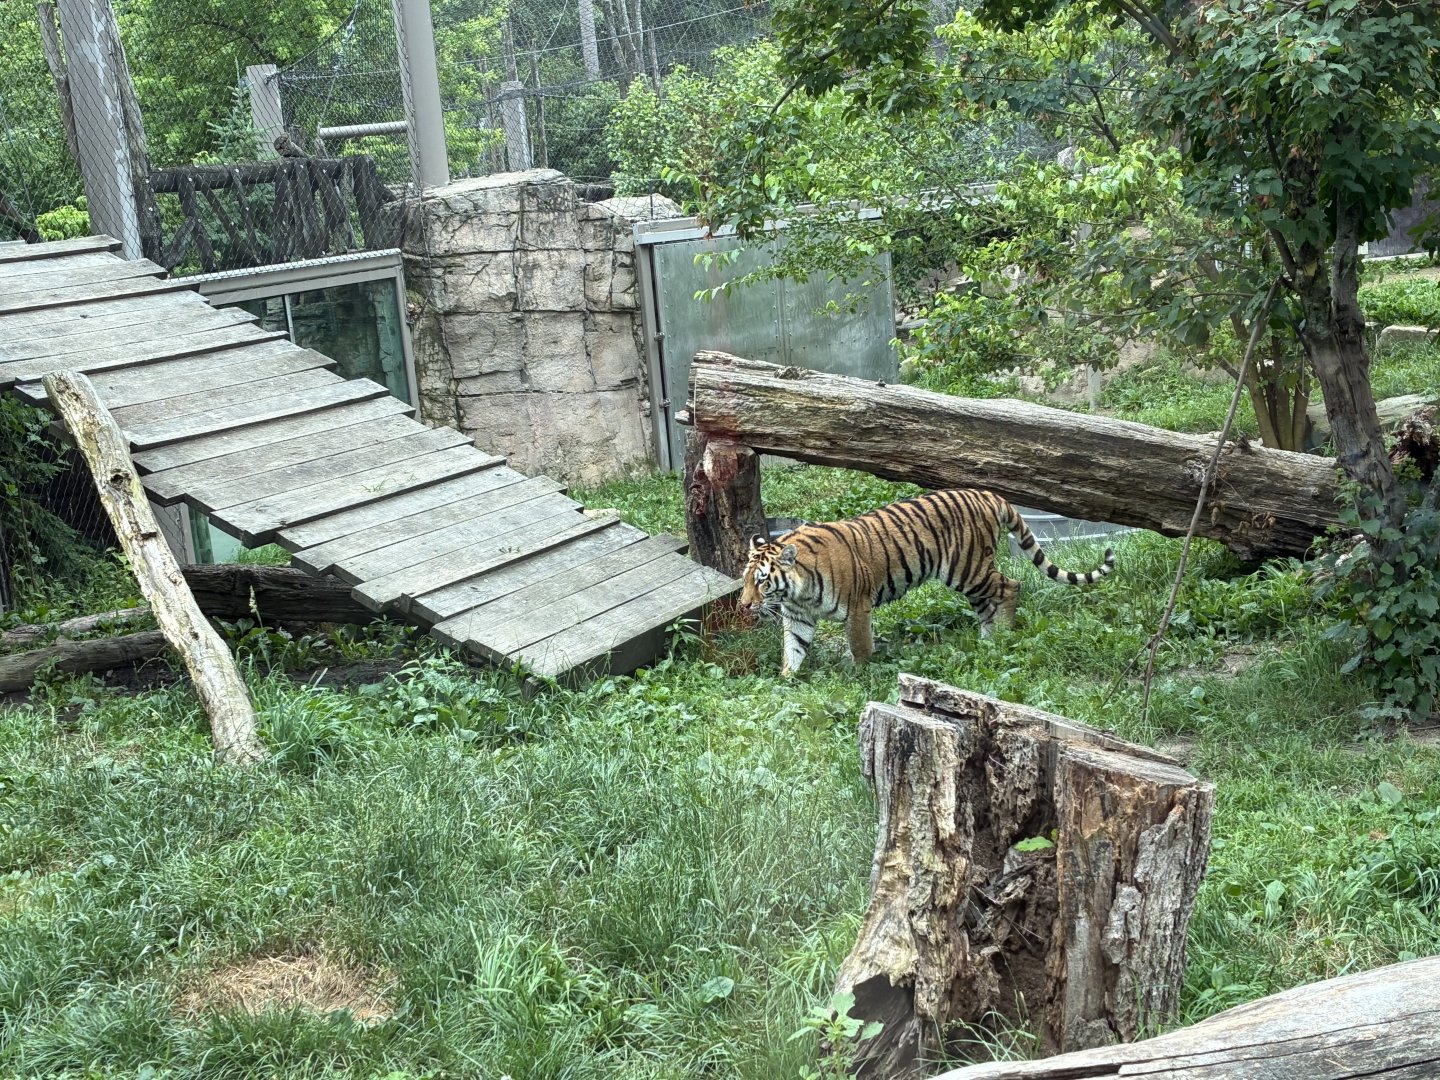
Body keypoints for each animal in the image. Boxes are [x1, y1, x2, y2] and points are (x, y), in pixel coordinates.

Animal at [740, 488, 1115, 676]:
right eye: (745, 581)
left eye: (762, 581)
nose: (743, 605)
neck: (797, 591)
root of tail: (989, 495)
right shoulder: (798, 617)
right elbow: (793, 650)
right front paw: (786, 681)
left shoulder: (858, 606)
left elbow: (860, 646)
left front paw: (859, 674)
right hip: (970, 577)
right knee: (987, 606)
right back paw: (988, 643)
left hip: (968, 569)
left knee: (1011, 585)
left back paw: (1005, 634)